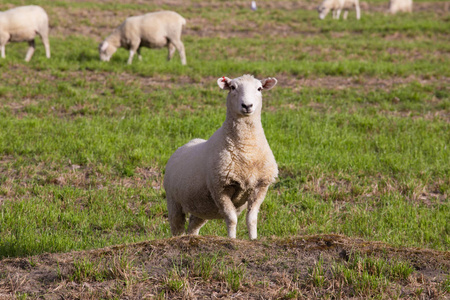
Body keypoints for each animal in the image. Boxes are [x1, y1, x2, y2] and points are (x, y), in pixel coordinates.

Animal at [163, 75, 280, 241]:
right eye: (232, 87)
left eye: (259, 88)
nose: (247, 105)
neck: (247, 150)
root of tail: (186, 144)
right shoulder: (220, 188)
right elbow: (231, 219)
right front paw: (232, 239)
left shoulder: (260, 186)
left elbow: (252, 219)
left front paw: (253, 239)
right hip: (174, 202)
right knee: (177, 227)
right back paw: (179, 239)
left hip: (201, 206)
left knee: (193, 226)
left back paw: (194, 238)